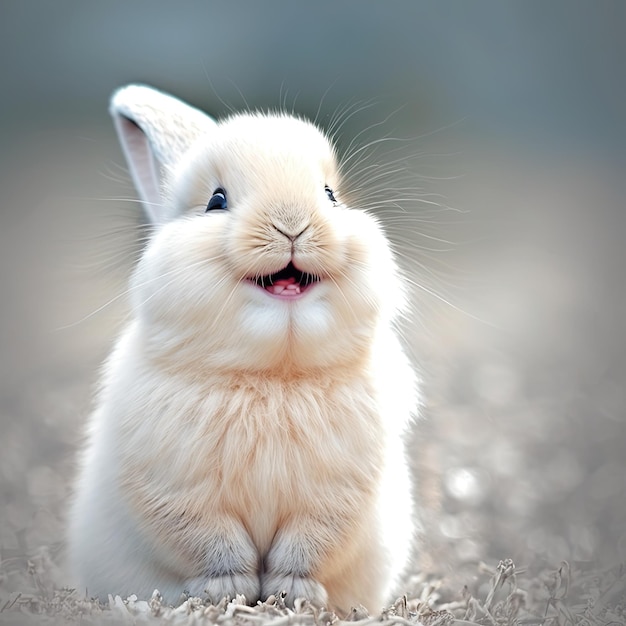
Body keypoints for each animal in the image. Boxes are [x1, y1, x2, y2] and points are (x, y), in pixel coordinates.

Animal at [68, 84, 416, 616]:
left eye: (330, 196)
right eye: (216, 201)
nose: (292, 223)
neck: (272, 373)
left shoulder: (337, 495)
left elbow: (306, 546)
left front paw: (292, 595)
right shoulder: (177, 490)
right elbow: (212, 543)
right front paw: (228, 591)